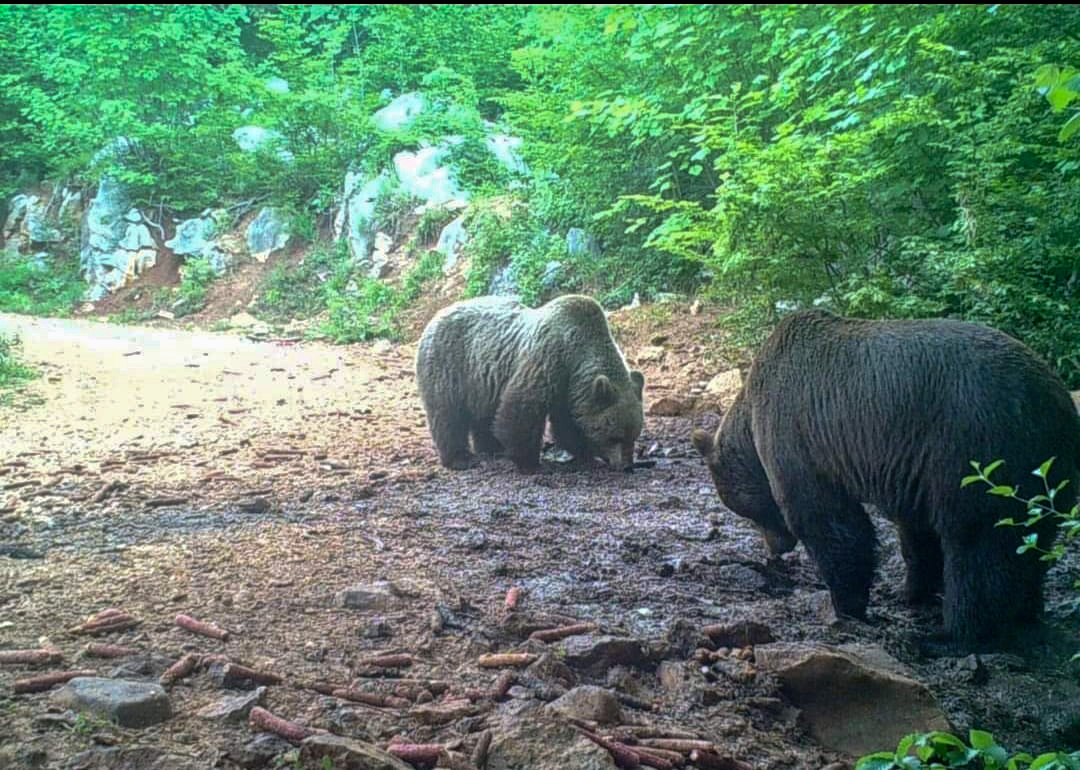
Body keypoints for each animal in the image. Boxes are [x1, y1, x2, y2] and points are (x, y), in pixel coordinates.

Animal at [416, 293, 643, 470]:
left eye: (633, 435)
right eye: (615, 436)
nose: (626, 465)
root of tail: (435, 317)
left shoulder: (569, 388)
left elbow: (568, 422)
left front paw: (584, 450)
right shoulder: (548, 360)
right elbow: (523, 408)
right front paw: (527, 460)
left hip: (481, 381)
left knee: (483, 416)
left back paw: (491, 447)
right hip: (449, 367)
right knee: (448, 415)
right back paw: (461, 458)